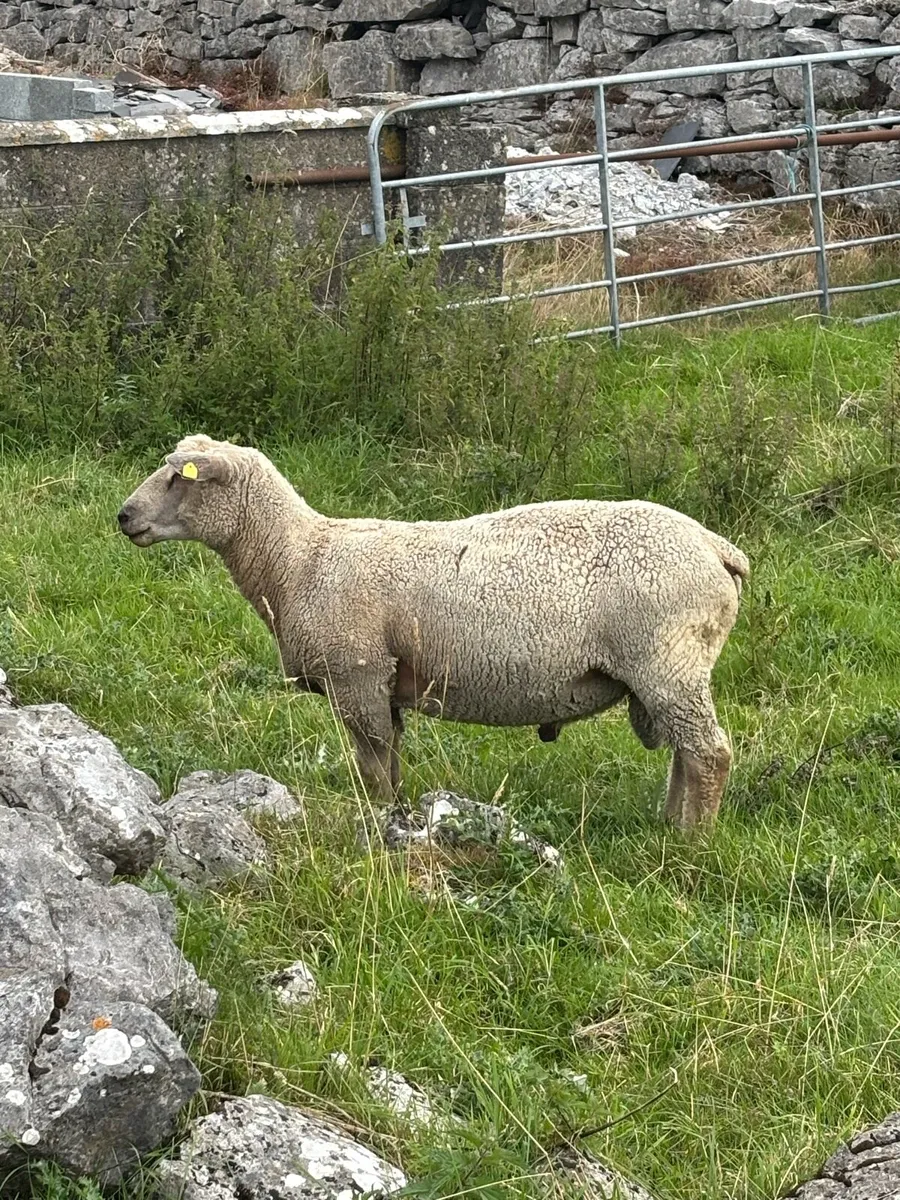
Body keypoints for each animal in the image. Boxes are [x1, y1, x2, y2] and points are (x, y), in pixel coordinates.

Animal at [117, 435, 749, 828]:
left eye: (178, 477)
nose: (123, 516)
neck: (299, 560)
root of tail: (717, 548)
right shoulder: (386, 683)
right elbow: (391, 763)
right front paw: (395, 817)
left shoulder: (357, 675)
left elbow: (373, 769)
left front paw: (379, 824)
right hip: (669, 670)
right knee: (686, 753)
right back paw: (670, 825)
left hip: (667, 660)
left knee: (709, 754)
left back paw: (691, 842)